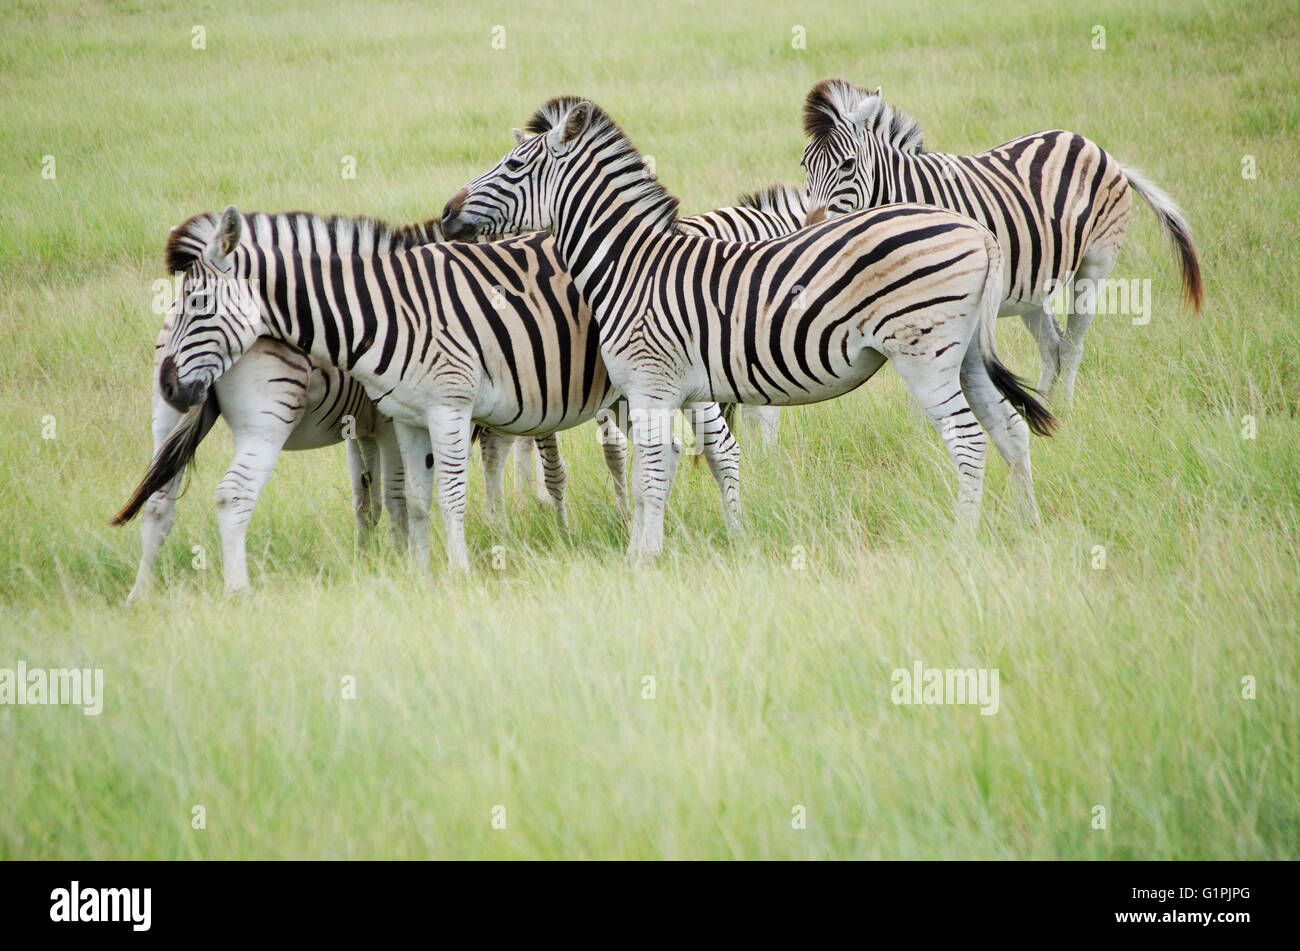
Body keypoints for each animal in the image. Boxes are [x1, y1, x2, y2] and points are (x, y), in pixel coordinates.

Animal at [149, 203, 743, 569]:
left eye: (197, 304)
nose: (170, 387)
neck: (377, 311)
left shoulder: (419, 413)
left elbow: (412, 494)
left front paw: (431, 565)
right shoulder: (388, 418)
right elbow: (395, 497)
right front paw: (400, 566)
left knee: (722, 450)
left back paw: (732, 534)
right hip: (630, 390)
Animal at [441, 96, 1050, 556]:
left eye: (514, 166)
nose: (446, 214)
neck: (630, 264)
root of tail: (976, 231)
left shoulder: (650, 384)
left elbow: (648, 478)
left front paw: (641, 558)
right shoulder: (682, 389)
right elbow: (682, 465)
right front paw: (669, 546)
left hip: (925, 355)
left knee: (968, 441)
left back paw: (962, 541)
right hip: (964, 355)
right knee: (1008, 430)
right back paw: (1026, 526)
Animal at [800, 80, 1206, 405]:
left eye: (847, 165)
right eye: (805, 166)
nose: (811, 226)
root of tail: (1091, 144)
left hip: (1095, 263)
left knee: (1073, 344)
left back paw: (1066, 412)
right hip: (1033, 282)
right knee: (1052, 346)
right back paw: (1046, 406)